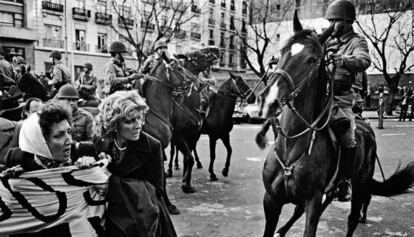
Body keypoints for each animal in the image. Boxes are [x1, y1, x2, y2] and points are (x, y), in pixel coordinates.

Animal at [258, 12, 414, 237]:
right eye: (281, 53)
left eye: (312, 60)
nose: (269, 99)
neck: (291, 148)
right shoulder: (271, 200)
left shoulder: (313, 200)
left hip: (360, 185)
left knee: (353, 218)